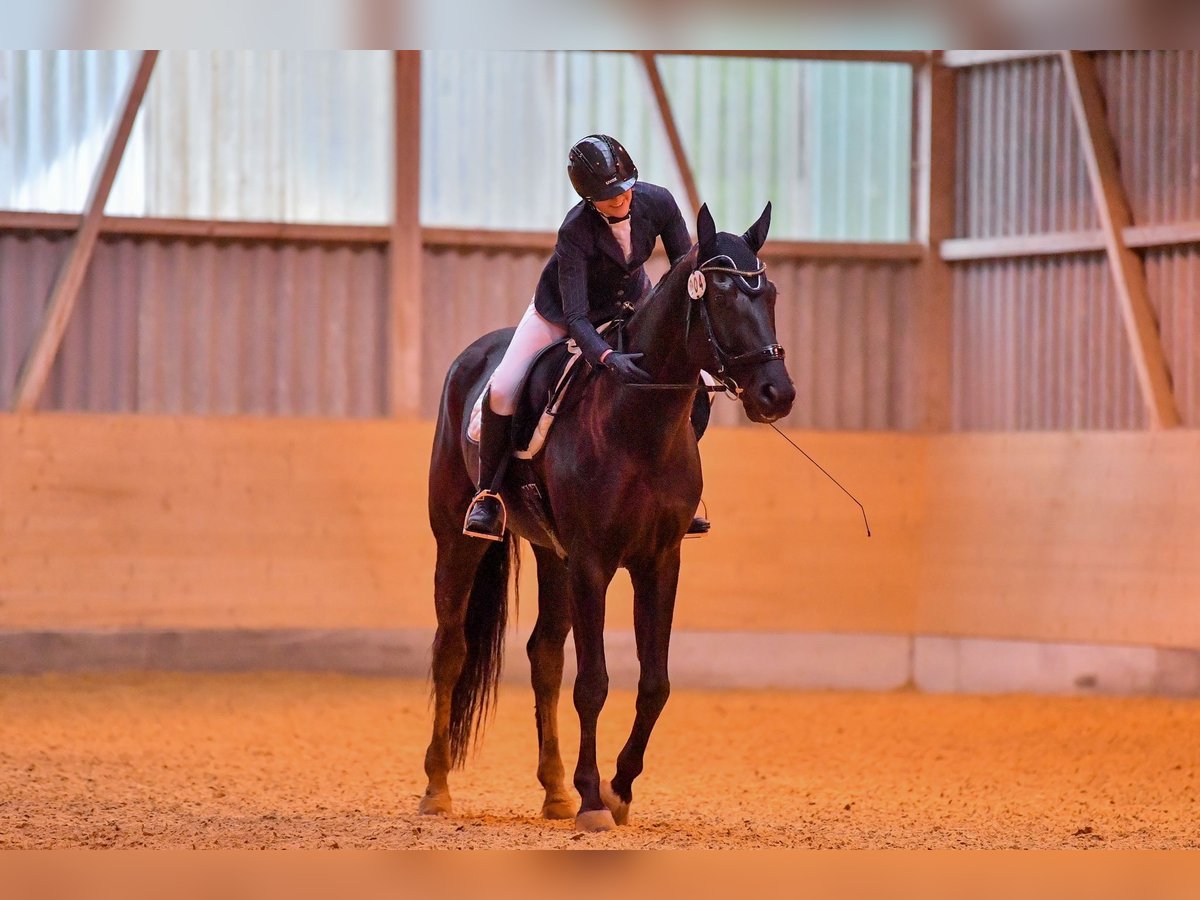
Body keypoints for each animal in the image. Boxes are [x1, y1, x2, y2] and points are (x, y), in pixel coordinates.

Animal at [422, 202, 796, 830]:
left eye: (767, 293)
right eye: (721, 296)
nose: (777, 394)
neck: (637, 423)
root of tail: (470, 358)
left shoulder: (659, 561)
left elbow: (655, 683)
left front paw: (618, 789)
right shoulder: (593, 563)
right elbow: (593, 683)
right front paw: (595, 798)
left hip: (553, 554)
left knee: (544, 655)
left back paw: (554, 791)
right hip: (459, 539)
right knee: (451, 649)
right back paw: (437, 787)